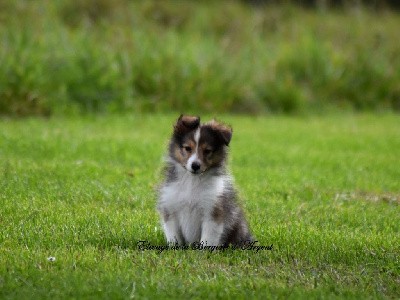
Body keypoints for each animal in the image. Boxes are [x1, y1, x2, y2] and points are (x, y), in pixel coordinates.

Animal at [157, 115, 253, 246]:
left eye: (207, 151)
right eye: (188, 148)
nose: (195, 165)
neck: (192, 181)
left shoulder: (213, 212)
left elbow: (208, 239)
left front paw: (205, 251)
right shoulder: (170, 208)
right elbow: (173, 236)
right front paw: (175, 248)